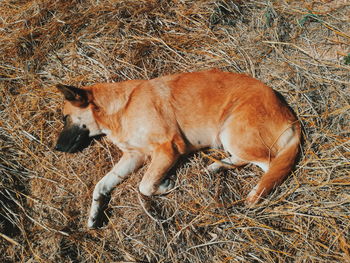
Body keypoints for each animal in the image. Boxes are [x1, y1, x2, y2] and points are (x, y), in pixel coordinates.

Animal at [54, 69, 300, 229]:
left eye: (65, 118)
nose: (56, 148)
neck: (121, 108)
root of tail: (291, 117)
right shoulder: (134, 156)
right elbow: (102, 184)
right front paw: (94, 213)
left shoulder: (168, 148)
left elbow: (145, 185)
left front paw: (165, 186)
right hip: (226, 135)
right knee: (245, 160)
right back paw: (215, 167)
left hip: (232, 132)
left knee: (270, 166)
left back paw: (254, 192)